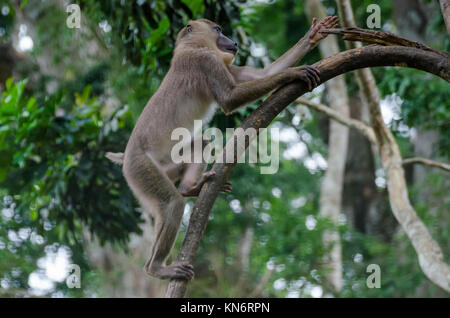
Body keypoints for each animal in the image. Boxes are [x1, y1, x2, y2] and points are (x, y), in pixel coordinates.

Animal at [105, 16, 338, 280]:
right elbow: (229, 98)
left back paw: (190, 187)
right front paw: (293, 73)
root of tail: (126, 157)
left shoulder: (220, 61)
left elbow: (261, 73)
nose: (233, 42)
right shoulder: (206, 61)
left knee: (202, 143)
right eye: (218, 29)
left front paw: (312, 36)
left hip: (167, 166)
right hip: (140, 169)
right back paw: (156, 268)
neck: (191, 46)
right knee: (172, 204)